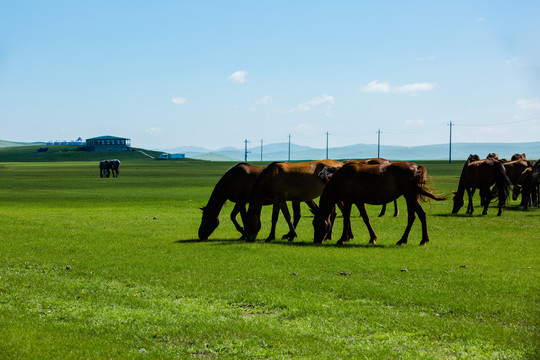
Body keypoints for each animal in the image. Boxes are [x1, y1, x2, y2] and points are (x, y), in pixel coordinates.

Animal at [310, 162, 446, 246]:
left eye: (316, 223)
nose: (316, 240)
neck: (341, 177)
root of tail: (416, 167)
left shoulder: (348, 201)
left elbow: (346, 219)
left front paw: (343, 239)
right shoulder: (359, 202)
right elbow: (365, 218)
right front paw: (372, 238)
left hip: (410, 196)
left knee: (419, 215)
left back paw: (419, 240)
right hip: (411, 197)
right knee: (415, 216)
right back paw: (407, 240)